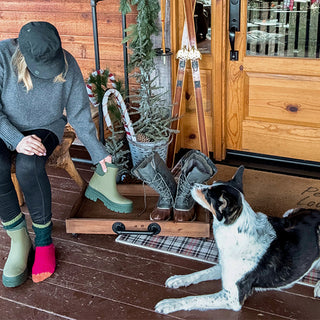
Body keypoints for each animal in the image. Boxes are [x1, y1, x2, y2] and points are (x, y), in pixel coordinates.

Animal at [155, 166, 320, 314]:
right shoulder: (224, 266)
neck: (234, 233)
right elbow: (200, 273)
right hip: (290, 212)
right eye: (212, 183)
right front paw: (179, 279)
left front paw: (170, 303)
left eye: (207, 193)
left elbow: (194, 298)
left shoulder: (232, 298)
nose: (192, 183)